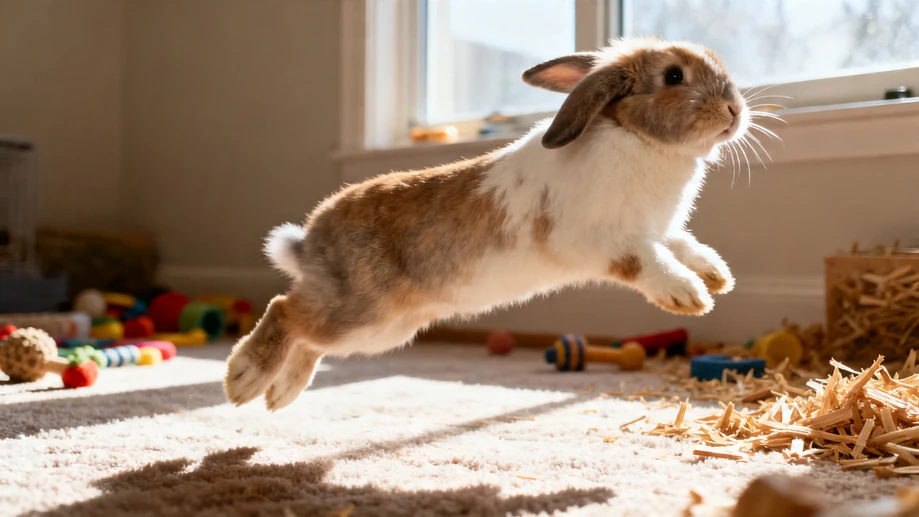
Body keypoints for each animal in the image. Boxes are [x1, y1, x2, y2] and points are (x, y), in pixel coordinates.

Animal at [224, 37, 751, 411]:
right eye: (674, 75)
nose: (734, 111)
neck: (637, 137)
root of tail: (311, 241)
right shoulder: (604, 239)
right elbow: (646, 261)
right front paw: (688, 296)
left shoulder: (659, 231)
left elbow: (681, 245)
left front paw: (717, 276)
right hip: (362, 312)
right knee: (284, 310)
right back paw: (244, 379)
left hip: (381, 330)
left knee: (307, 335)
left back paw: (281, 394)